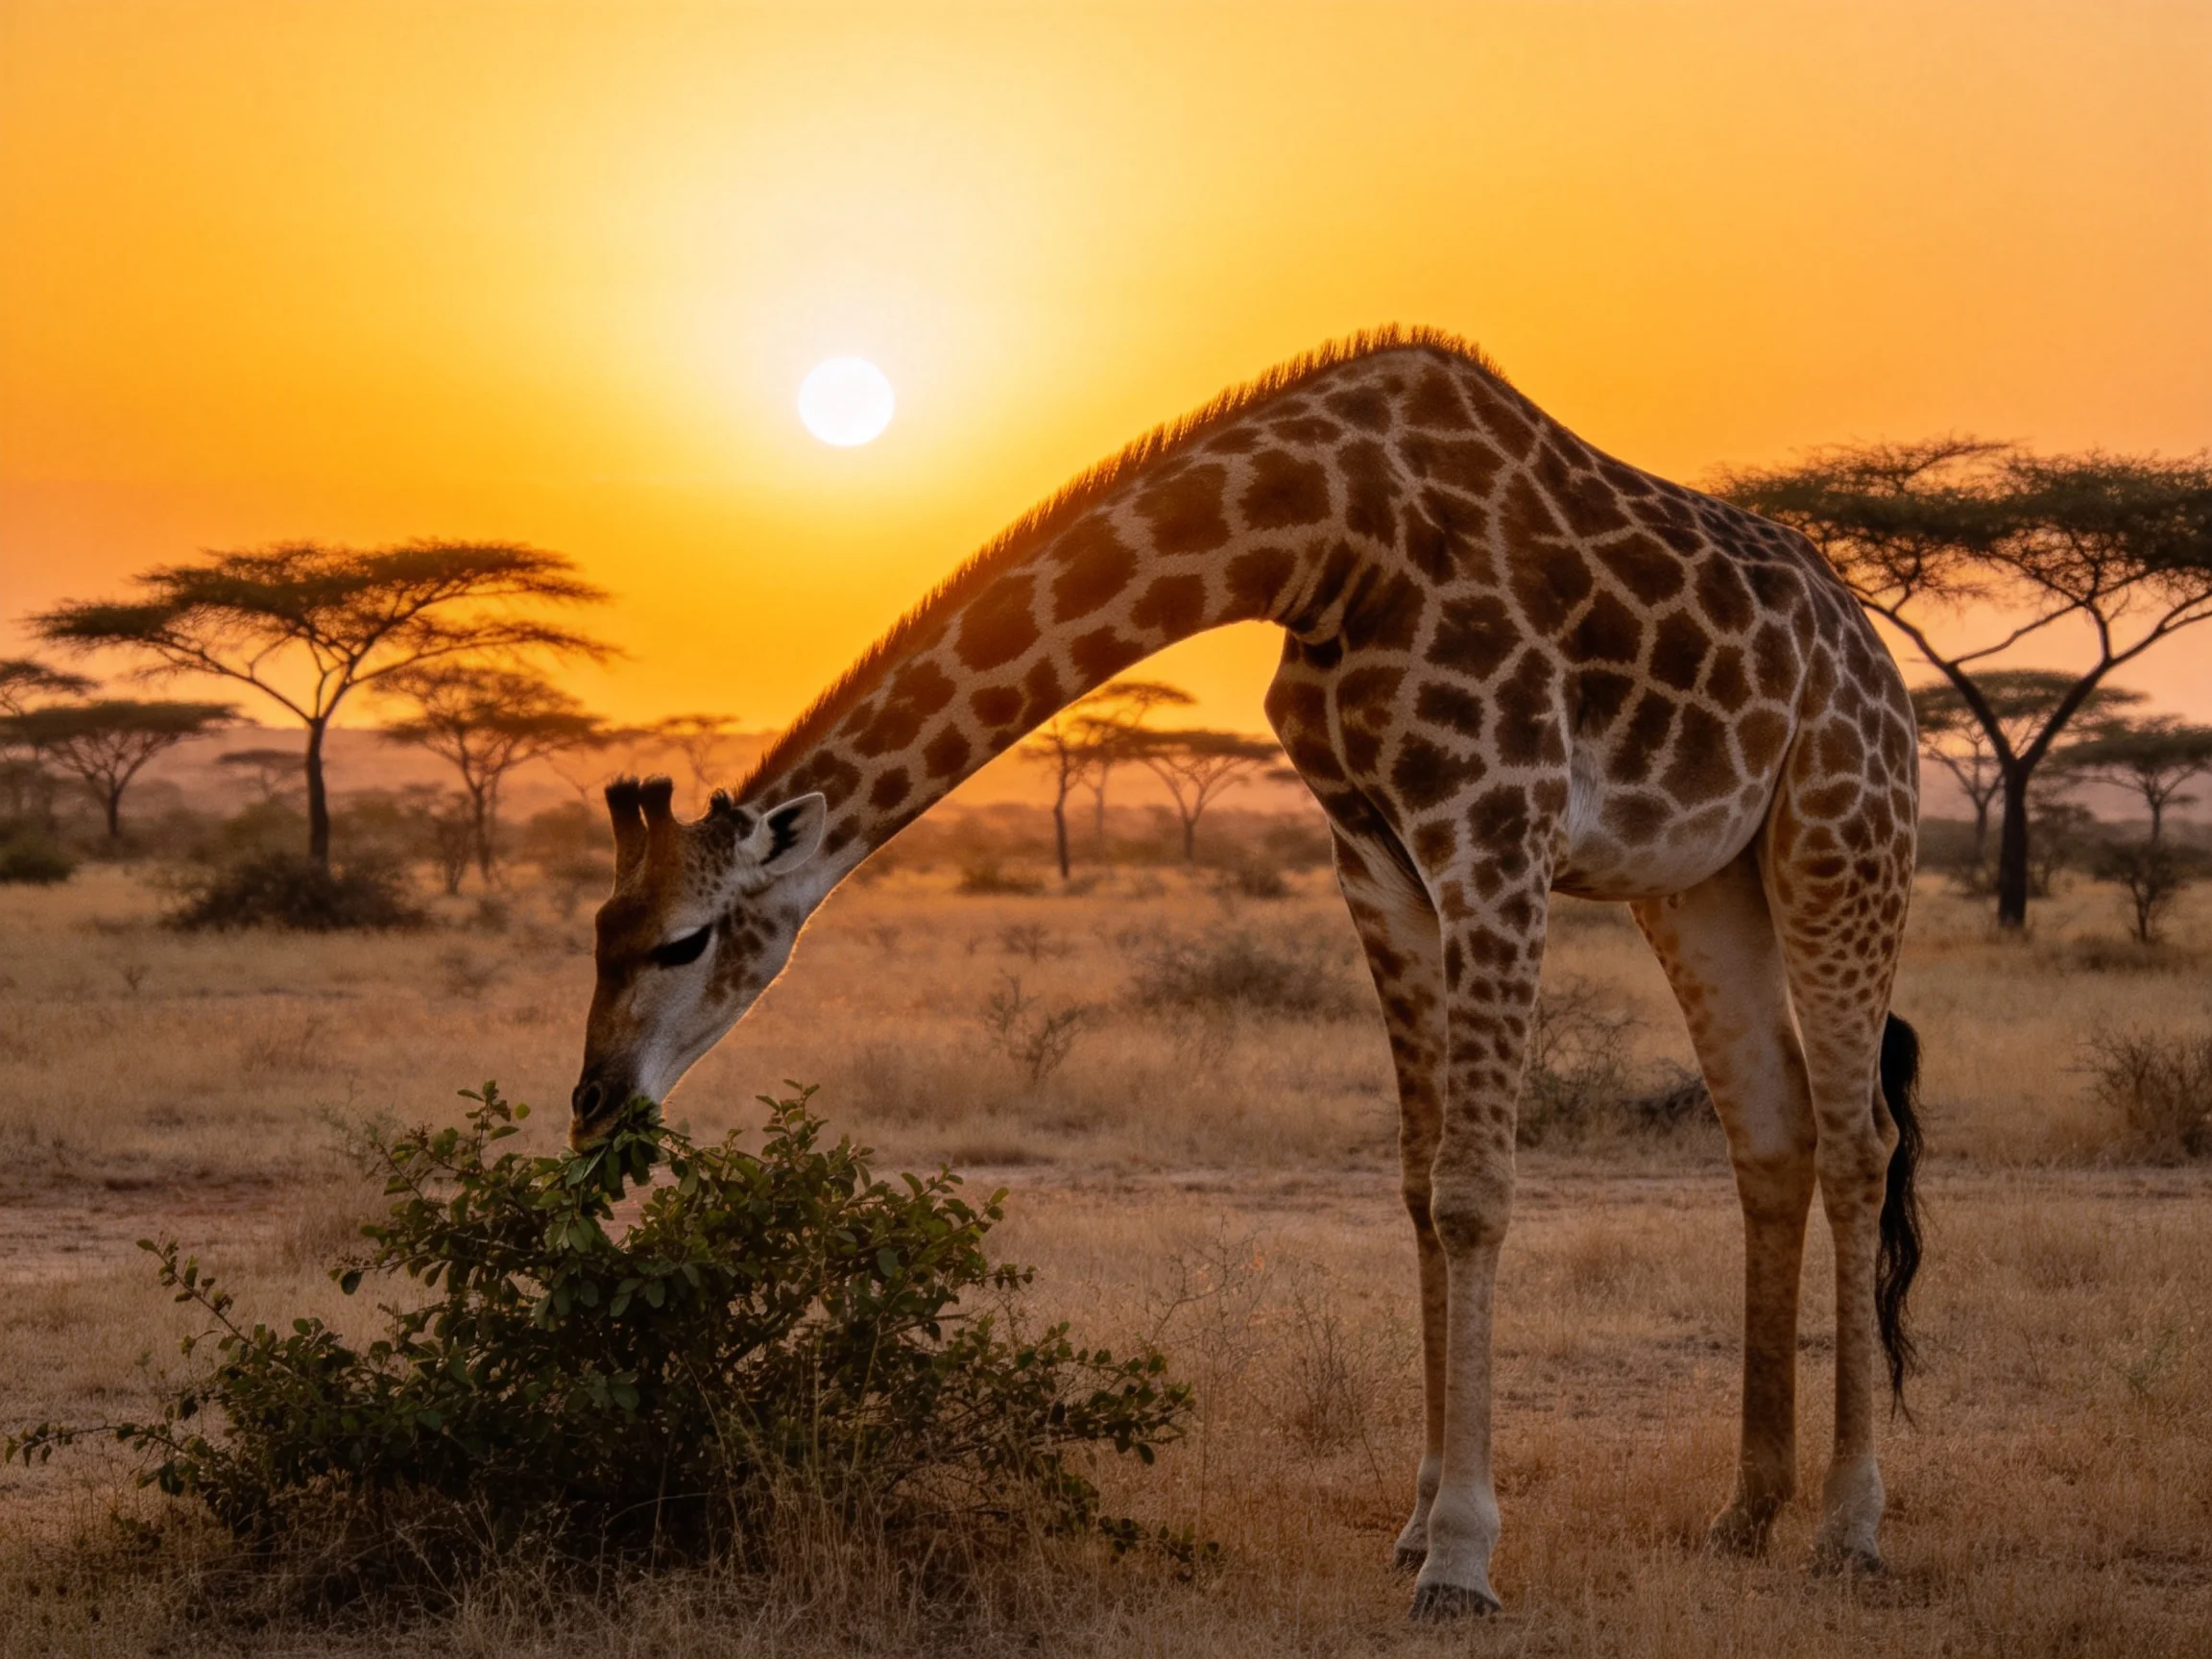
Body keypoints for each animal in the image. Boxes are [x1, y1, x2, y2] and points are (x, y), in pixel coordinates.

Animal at [574, 328, 1926, 1618]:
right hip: (1699, 880)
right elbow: (1416, 1188)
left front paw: (1463, 1561)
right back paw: (1745, 1514)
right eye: (598, 927)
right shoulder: (1373, 854)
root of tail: (1876, 656)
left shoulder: (1497, 828)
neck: (1323, 537)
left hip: (1843, 833)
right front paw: (1416, 1523)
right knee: (1773, 1135)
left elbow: (1474, 1193)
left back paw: (1850, 1532)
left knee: (1860, 1143)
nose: (594, 1106)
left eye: (681, 940)